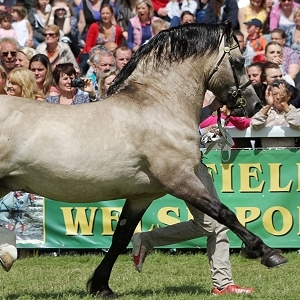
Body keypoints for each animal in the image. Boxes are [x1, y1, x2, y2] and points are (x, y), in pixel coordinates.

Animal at [0, 21, 288, 298]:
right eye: (239, 61)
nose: (253, 105)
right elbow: (225, 213)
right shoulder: (180, 180)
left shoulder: (142, 195)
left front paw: (101, 285)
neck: (159, 105)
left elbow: (121, 237)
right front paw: (267, 253)